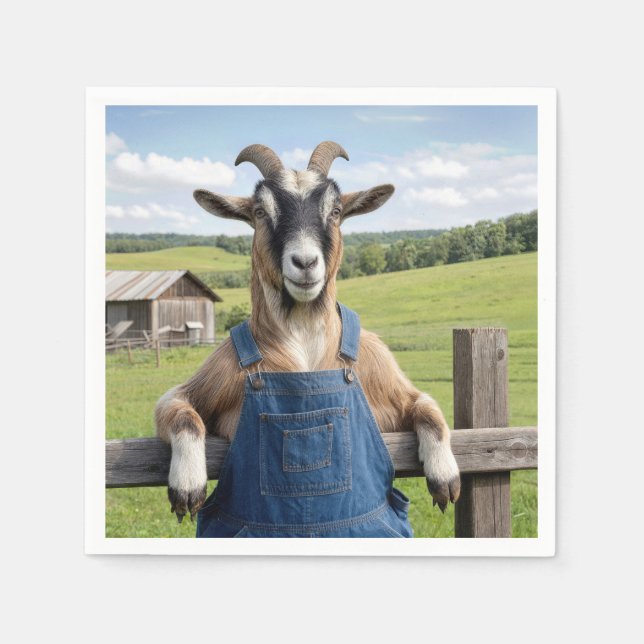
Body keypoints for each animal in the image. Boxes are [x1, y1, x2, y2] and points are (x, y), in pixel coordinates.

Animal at [155, 142, 460, 533]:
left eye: (336, 210)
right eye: (259, 211)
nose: (305, 262)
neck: (305, 350)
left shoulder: (390, 381)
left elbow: (428, 408)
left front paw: (445, 476)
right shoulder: (200, 385)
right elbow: (181, 412)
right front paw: (187, 484)